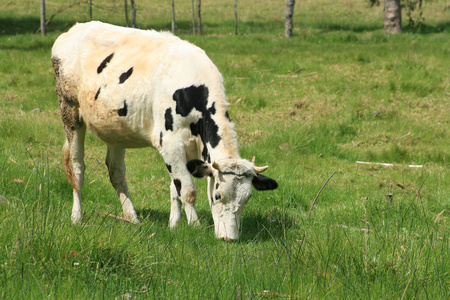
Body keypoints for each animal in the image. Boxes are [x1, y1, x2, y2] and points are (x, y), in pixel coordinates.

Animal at [52, 21, 278, 241]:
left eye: (247, 198)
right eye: (218, 195)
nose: (229, 238)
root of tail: (73, 29)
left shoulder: (191, 151)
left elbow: (175, 187)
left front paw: (174, 224)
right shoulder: (170, 144)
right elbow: (187, 190)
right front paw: (194, 226)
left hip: (115, 128)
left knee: (116, 172)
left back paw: (131, 217)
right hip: (69, 111)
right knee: (77, 168)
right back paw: (77, 217)